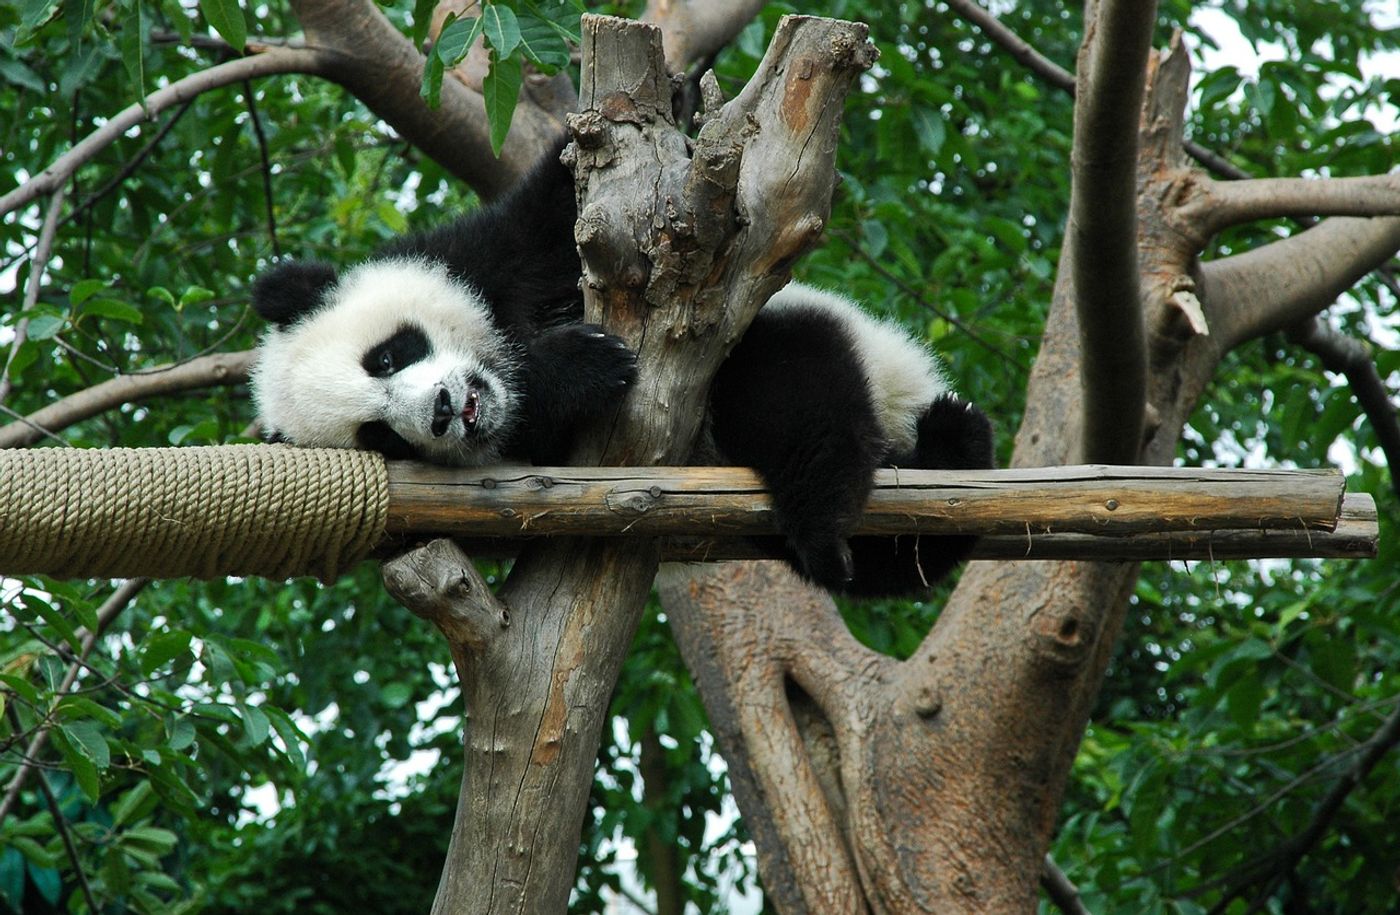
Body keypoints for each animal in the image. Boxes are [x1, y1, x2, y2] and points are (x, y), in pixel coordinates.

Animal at [252, 141, 996, 596]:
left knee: (794, 392)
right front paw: (573, 368)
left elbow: (549, 220)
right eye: (382, 438)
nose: (441, 410)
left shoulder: (478, 258)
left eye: (387, 356)